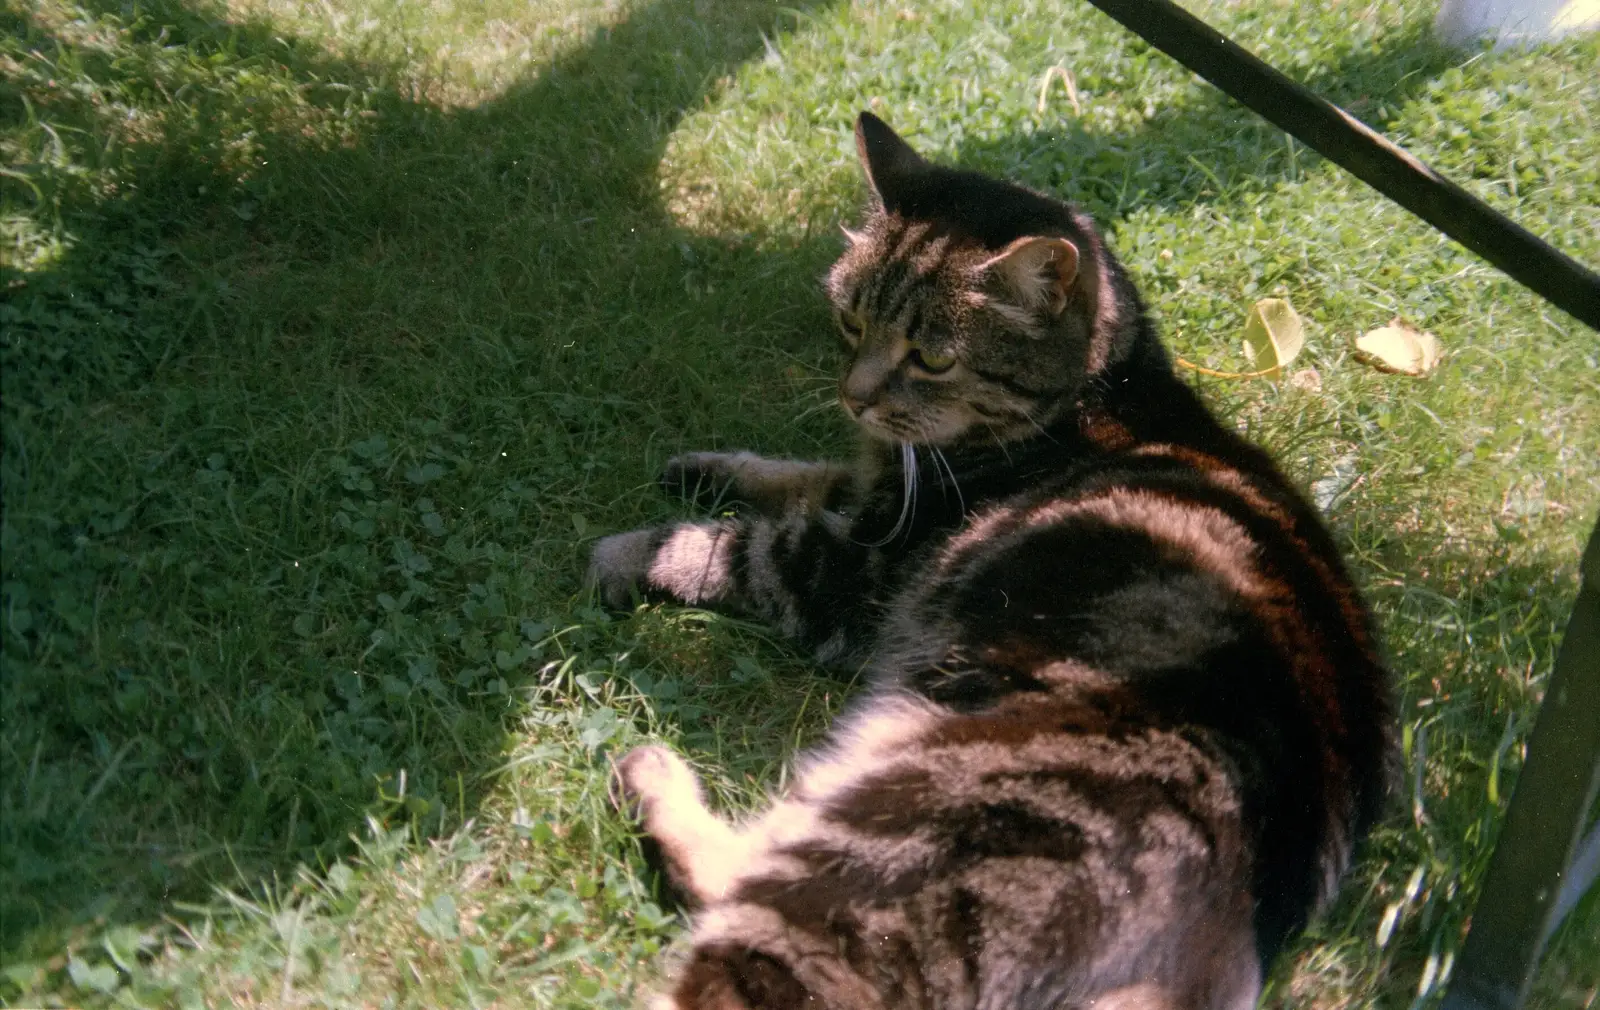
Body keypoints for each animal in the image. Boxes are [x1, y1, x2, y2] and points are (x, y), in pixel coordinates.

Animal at [595, 112, 1395, 1010]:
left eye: (934, 357)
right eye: (850, 319)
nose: (854, 396)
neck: (1097, 396)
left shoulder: (855, 572)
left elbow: (741, 544)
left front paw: (628, 548)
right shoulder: (863, 491)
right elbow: (793, 475)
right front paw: (706, 467)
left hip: (882, 849)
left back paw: (646, 771)